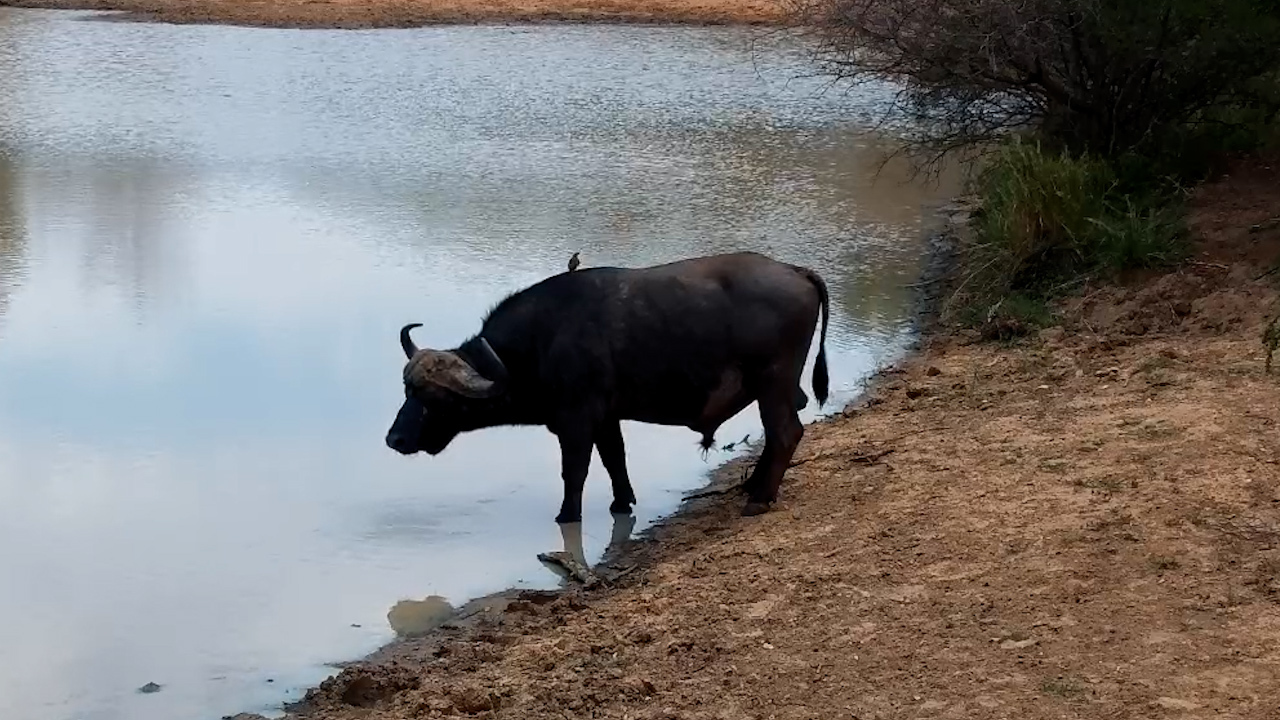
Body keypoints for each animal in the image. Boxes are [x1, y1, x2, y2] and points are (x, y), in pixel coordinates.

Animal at [385, 251, 830, 523]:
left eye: (433, 398)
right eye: (406, 392)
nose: (394, 439)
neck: (539, 344)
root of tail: (795, 270)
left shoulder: (576, 422)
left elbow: (575, 472)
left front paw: (567, 515)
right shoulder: (606, 418)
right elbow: (615, 459)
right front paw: (622, 502)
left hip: (773, 382)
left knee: (785, 432)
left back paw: (759, 498)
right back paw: (753, 485)